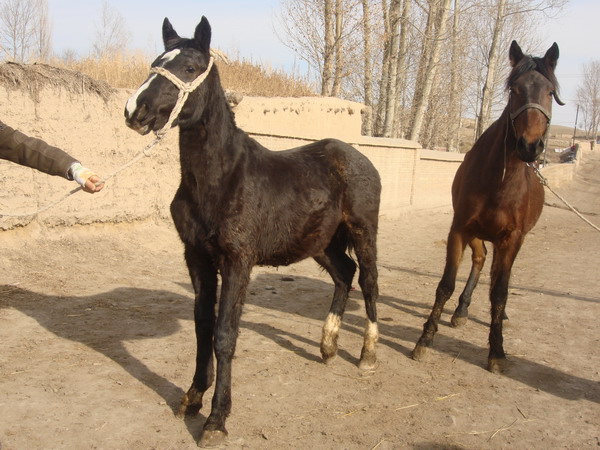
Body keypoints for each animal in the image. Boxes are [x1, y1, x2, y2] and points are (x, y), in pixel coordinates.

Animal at [125, 16, 382, 446]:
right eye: (155, 63)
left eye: (190, 68)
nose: (134, 110)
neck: (221, 179)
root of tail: (356, 156)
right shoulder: (196, 256)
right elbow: (202, 327)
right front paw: (192, 398)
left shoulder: (237, 261)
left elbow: (224, 334)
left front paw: (216, 420)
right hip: (320, 242)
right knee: (344, 274)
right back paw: (327, 345)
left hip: (363, 232)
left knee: (369, 282)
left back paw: (367, 356)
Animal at [410, 41, 564, 372]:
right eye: (515, 90)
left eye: (549, 92)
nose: (529, 146)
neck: (500, 181)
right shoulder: (459, 228)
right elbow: (446, 284)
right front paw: (424, 340)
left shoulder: (512, 238)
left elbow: (500, 291)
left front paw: (496, 351)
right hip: (477, 233)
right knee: (480, 261)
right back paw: (461, 310)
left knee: (497, 277)